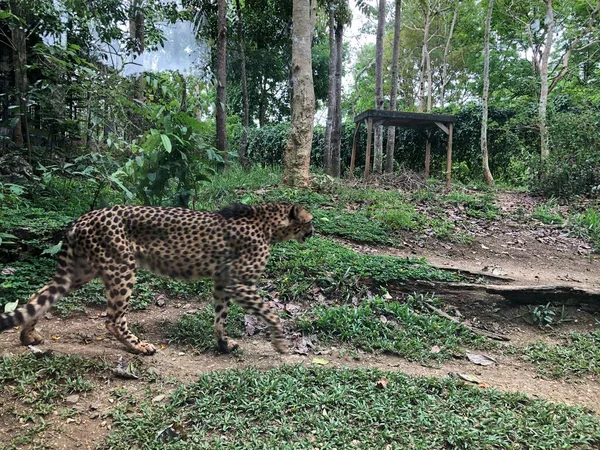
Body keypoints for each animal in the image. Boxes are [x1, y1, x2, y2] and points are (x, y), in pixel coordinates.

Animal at [1, 204, 314, 356]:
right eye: (310, 221)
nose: (313, 231)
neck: (267, 221)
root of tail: (83, 217)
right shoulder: (239, 282)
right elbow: (271, 312)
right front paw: (280, 343)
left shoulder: (222, 281)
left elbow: (220, 318)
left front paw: (223, 344)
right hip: (122, 269)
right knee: (112, 318)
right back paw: (138, 346)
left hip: (79, 272)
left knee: (39, 296)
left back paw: (27, 336)